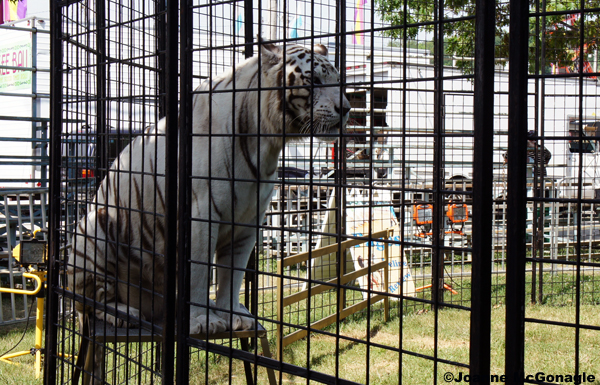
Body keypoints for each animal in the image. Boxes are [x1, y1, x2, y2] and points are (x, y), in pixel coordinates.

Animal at [68, 38, 352, 332]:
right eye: (314, 81)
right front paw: (202, 320)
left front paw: (233, 314)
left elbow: (233, 274)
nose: (346, 109)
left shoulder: (248, 220)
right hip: (93, 227)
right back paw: (124, 313)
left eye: (337, 80)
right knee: (89, 302)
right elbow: (199, 271)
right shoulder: (201, 214)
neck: (266, 141)